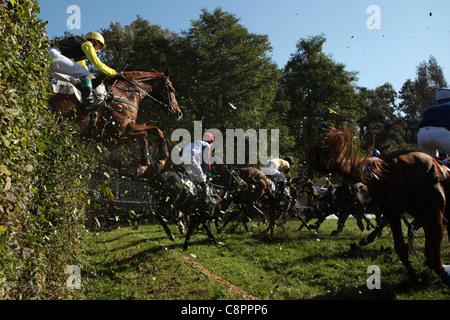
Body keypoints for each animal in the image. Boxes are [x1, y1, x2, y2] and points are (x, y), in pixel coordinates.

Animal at [48, 68, 183, 174]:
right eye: (172, 90)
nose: (178, 113)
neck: (126, 94)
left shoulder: (126, 128)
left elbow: (152, 133)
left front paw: (148, 164)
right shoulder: (115, 135)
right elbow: (148, 135)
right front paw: (156, 162)